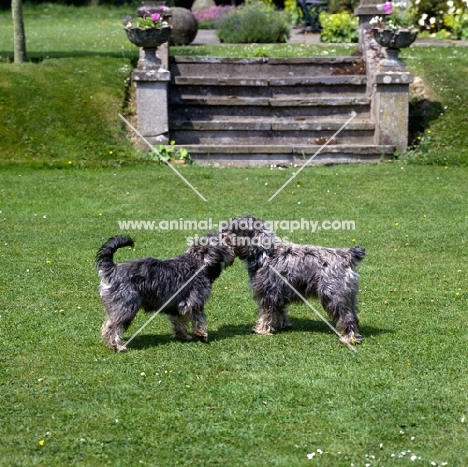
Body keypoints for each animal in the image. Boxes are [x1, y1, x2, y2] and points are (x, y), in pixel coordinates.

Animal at [96, 236, 234, 352]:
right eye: (224, 246)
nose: (232, 249)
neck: (197, 262)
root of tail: (112, 269)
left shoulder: (176, 306)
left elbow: (179, 322)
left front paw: (182, 335)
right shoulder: (193, 303)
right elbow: (199, 319)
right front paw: (201, 335)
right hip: (126, 308)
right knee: (111, 327)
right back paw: (118, 346)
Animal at [223, 215, 366, 344]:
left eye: (236, 229)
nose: (223, 232)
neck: (264, 253)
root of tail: (347, 256)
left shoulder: (268, 293)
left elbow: (266, 313)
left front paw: (262, 329)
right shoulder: (279, 295)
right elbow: (280, 311)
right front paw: (282, 325)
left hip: (333, 296)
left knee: (347, 318)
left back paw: (349, 339)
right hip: (349, 297)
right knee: (354, 316)